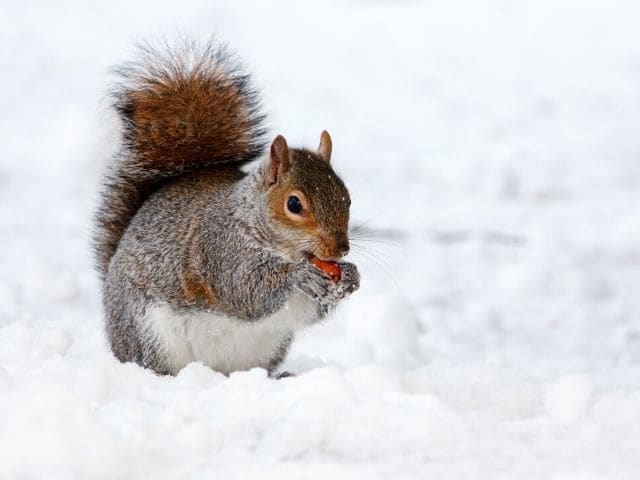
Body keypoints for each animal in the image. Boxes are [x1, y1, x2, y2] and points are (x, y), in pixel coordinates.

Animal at [94, 40, 360, 376]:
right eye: (294, 204)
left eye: (347, 197)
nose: (341, 250)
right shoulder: (221, 249)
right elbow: (245, 290)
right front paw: (300, 275)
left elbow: (311, 311)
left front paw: (351, 276)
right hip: (147, 333)